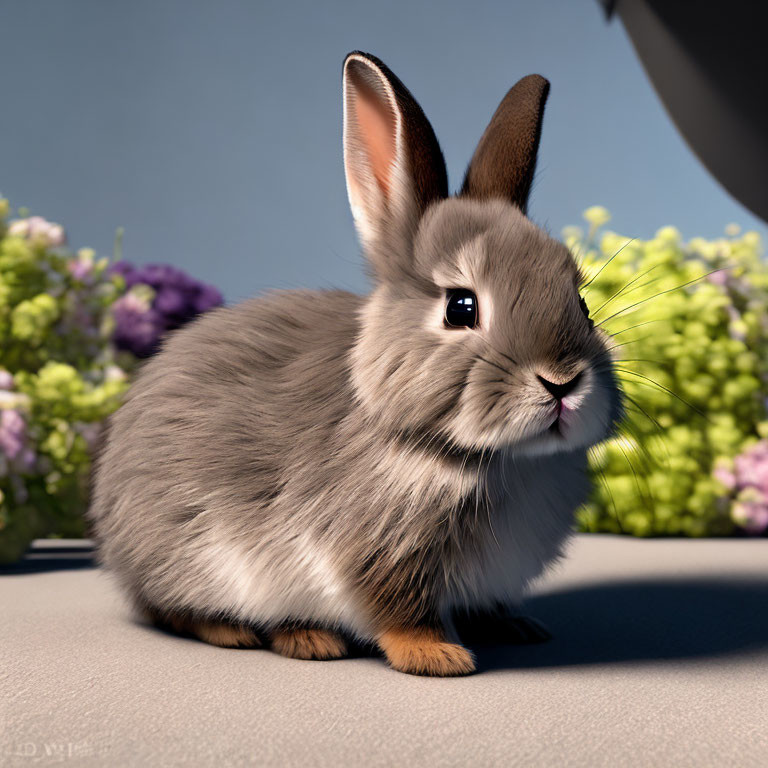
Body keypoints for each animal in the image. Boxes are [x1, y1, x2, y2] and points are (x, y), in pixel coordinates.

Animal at [87, 52, 620, 680]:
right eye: (461, 307)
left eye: (581, 302)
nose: (562, 382)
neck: (491, 457)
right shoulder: (374, 552)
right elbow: (400, 610)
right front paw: (437, 657)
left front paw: (516, 626)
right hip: (187, 555)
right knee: (170, 608)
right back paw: (273, 634)